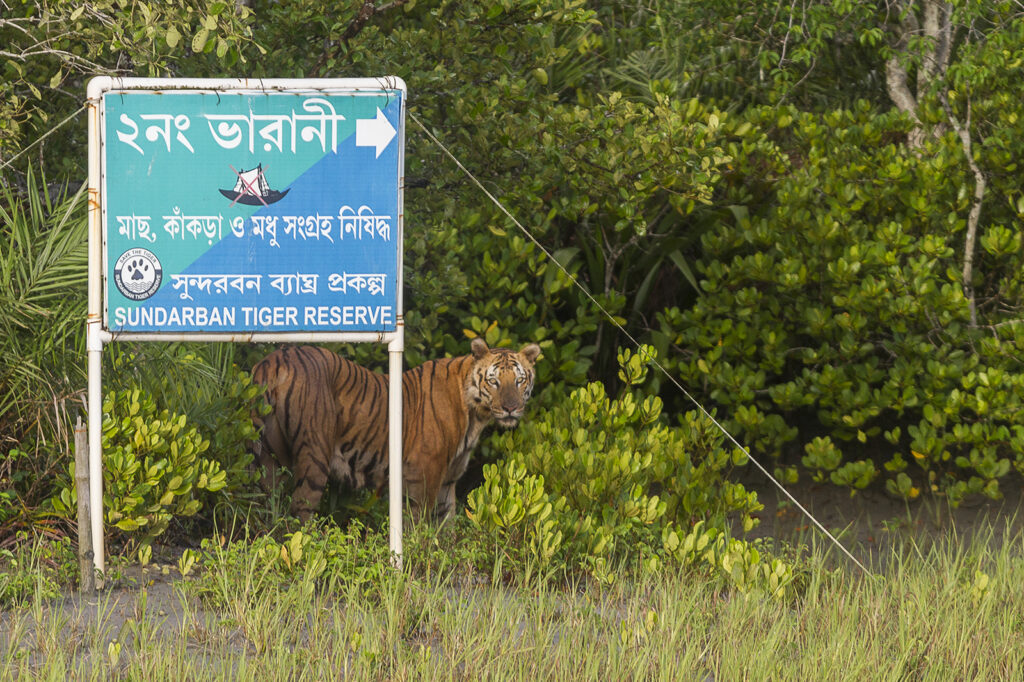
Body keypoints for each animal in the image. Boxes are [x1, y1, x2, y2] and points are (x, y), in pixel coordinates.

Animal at [250, 338, 541, 521]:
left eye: (519, 380)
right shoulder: (424, 471)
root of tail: (275, 358)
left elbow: (446, 524)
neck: (475, 414)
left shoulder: (449, 478)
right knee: (300, 508)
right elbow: (419, 521)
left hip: (269, 459)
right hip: (314, 455)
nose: (511, 408)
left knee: (269, 508)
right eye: (493, 381)